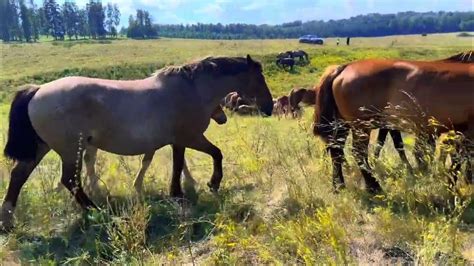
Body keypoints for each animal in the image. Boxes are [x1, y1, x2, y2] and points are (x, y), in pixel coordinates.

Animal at [0, 54, 274, 231]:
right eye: (259, 78)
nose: (269, 108)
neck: (193, 89)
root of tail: (37, 90)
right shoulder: (191, 137)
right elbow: (216, 154)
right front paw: (212, 183)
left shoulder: (179, 140)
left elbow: (178, 164)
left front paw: (178, 193)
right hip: (70, 151)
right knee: (70, 180)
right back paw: (97, 211)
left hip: (41, 148)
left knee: (19, 176)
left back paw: (8, 220)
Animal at [312, 59, 472, 193]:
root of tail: (345, 67)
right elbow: (463, 157)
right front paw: (457, 183)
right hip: (361, 126)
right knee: (358, 153)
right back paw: (374, 187)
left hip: (342, 124)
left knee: (336, 151)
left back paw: (339, 185)